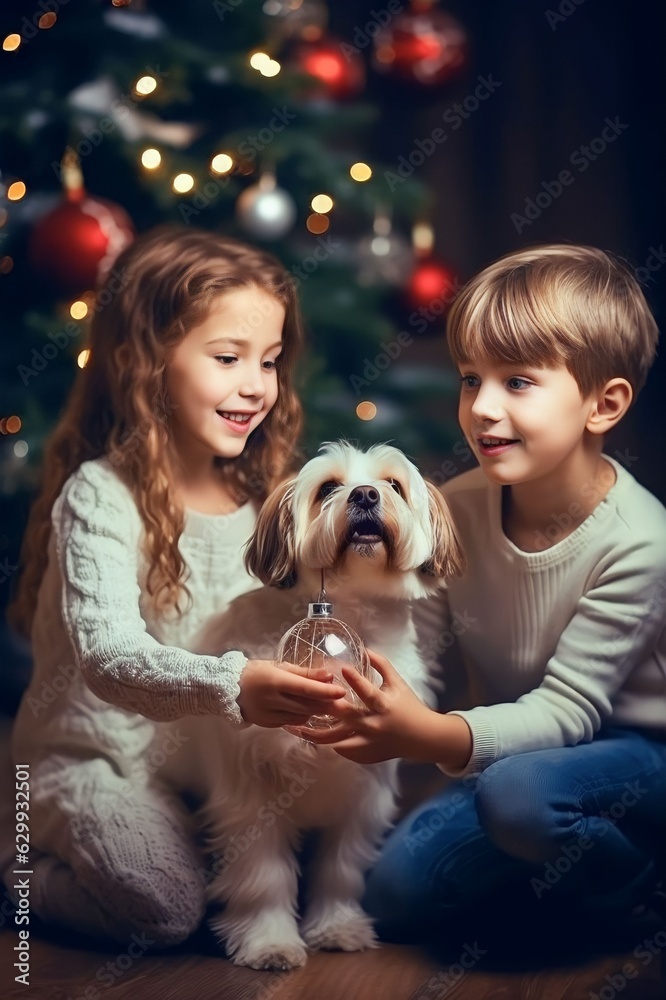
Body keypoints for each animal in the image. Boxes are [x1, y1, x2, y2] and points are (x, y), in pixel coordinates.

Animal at [175, 444, 462, 968]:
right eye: (328, 488)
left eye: (393, 485)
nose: (366, 495)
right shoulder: (250, 794)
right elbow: (264, 875)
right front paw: (269, 941)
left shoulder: (365, 792)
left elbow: (341, 868)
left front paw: (337, 926)